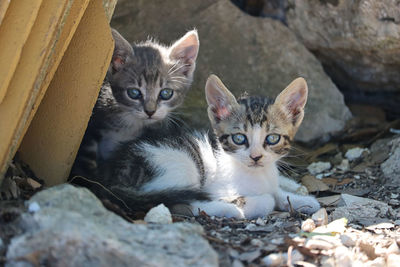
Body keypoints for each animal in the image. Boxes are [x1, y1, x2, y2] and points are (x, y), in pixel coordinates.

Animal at [95, 74, 320, 219]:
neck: (257, 175)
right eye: (239, 138)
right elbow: (267, 199)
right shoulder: (217, 188)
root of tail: (111, 176)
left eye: (272, 138)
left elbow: (277, 192)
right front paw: (257, 202)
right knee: (180, 203)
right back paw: (230, 210)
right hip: (180, 166)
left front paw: (302, 200)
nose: (256, 157)